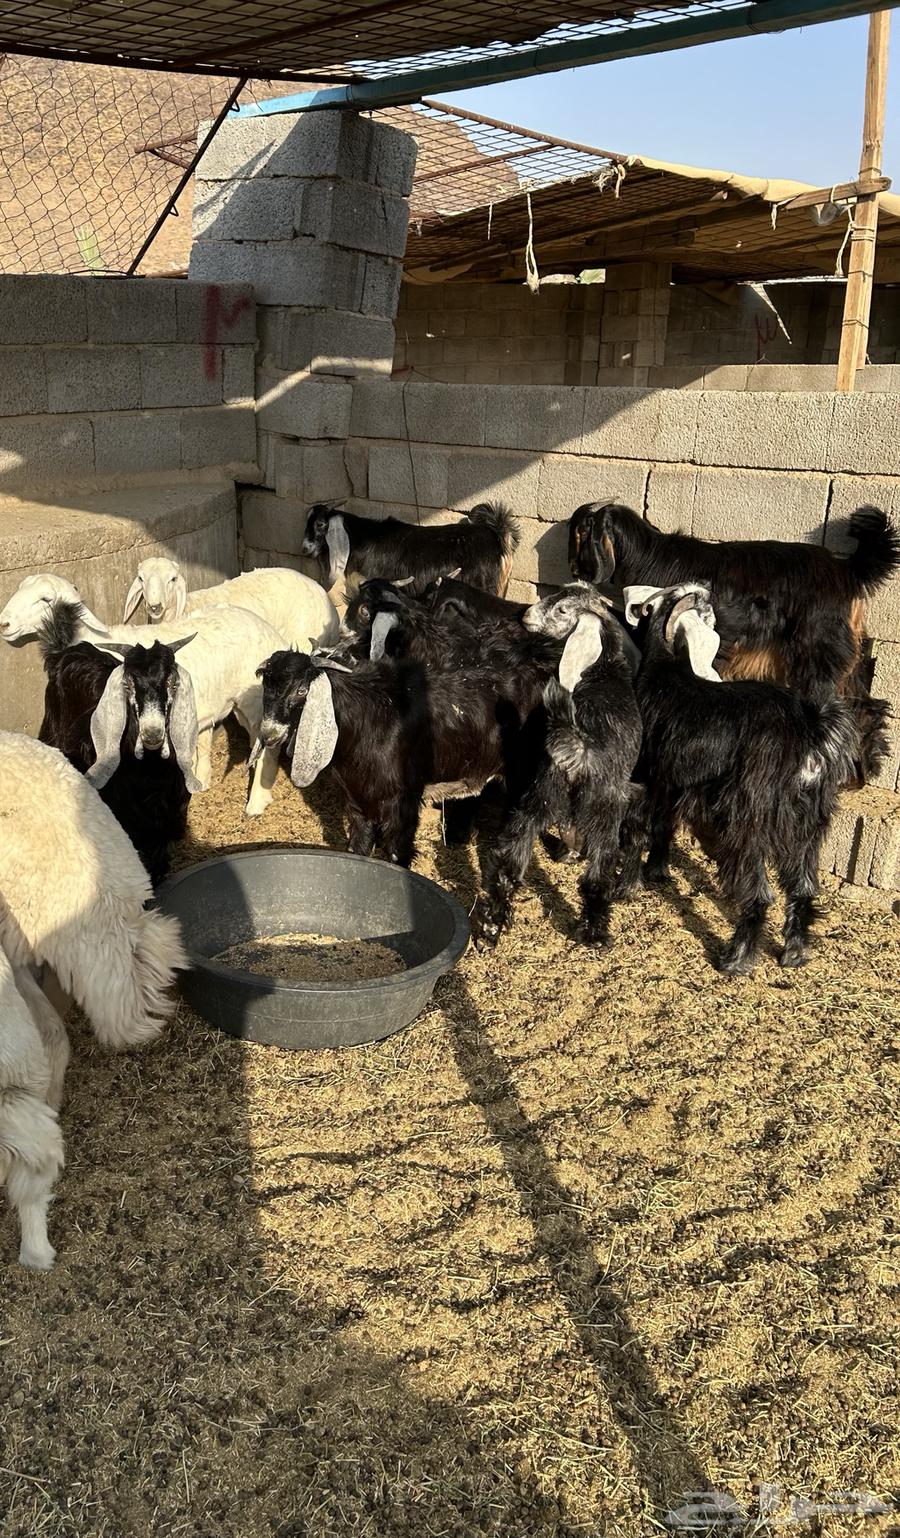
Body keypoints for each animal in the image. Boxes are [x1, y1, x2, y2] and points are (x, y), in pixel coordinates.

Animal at [0, 574, 286, 815]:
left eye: (46, 599)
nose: (4, 623)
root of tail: (269, 631)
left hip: (253, 700)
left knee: (267, 745)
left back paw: (256, 803)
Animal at [37, 601, 200, 886]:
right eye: (128, 684)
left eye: (172, 681)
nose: (152, 734)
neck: (150, 772)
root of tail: (63, 652)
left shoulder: (165, 823)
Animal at [473, 583, 642, 951]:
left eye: (562, 610)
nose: (526, 615)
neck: (601, 670)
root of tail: (578, 741)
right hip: (605, 807)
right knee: (598, 874)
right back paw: (595, 933)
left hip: (540, 794)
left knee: (509, 866)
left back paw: (490, 929)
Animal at [567, 500, 899, 781]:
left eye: (578, 532)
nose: (571, 568)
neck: (649, 555)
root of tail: (847, 569)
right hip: (844, 655)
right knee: (867, 704)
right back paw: (865, 769)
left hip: (817, 651)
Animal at [620, 583, 858, 975]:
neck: (666, 670)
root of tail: (809, 730)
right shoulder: (674, 783)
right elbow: (663, 826)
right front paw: (656, 872)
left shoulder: (648, 778)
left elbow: (638, 829)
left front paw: (628, 886)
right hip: (806, 825)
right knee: (803, 886)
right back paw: (794, 952)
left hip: (747, 823)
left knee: (759, 894)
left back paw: (737, 959)